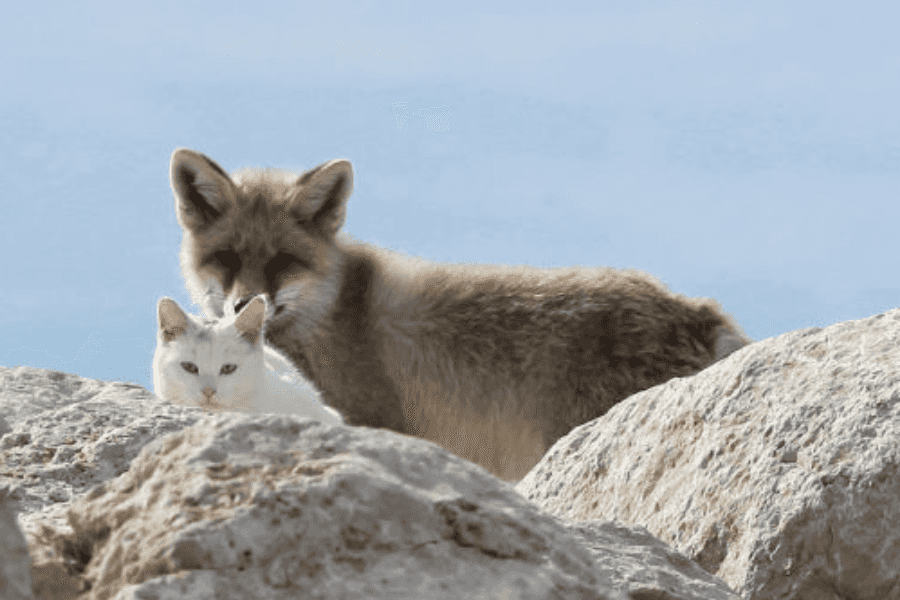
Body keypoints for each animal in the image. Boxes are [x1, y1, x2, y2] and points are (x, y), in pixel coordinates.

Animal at [169, 147, 750, 481]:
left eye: (282, 262)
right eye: (227, 258)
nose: (245, 304)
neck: (330, 308)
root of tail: (696, 307)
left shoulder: (374, 418)